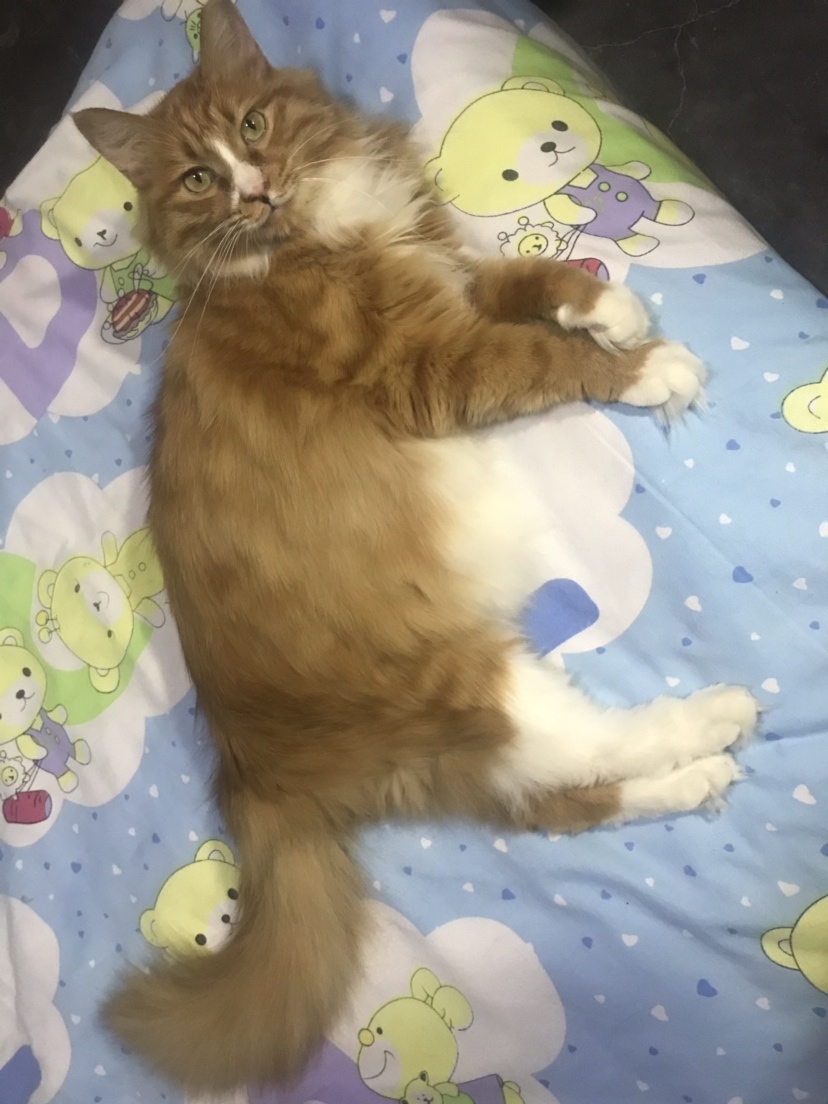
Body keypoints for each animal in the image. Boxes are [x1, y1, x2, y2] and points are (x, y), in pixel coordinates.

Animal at [74, 0, 758, 1094]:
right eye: (197, 179)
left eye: (253, 127)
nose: (255, 185)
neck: (305, 229)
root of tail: (249, 773)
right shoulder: (430, 361)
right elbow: (541, 354)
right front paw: (646, 365)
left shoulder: (451, 268)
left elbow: (534, 277)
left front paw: (611, 307)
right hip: (468, 683)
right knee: (586, 754)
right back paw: (712, 722)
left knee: (557, 806)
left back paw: (697, 779)